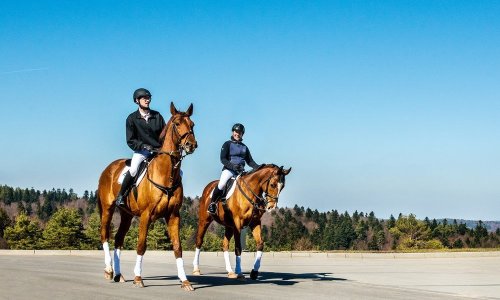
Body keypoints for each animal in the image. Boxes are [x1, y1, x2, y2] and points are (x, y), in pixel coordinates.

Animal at [97, 101, 197, 290]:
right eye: (177, 124)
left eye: (192, 124)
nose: (191, 145)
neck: (166, 173)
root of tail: (109, 168)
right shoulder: (146, 215)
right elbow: (141, 245)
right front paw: (138, 278)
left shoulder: (173, 216)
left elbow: (177, 247)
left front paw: (185, 281)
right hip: (108, 209)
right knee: (105, 235)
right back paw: (108, 270)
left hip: (126, 215)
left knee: (118, 239)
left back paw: (119, 274)